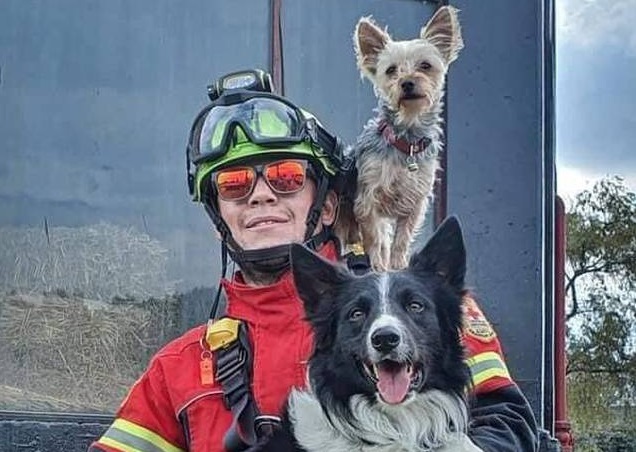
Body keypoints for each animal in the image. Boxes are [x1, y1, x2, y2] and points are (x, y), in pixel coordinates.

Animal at [337, 6, 464, 271]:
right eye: (391, 70)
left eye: (425, 65)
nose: (407, 82)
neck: (407, 139)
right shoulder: (368, 200)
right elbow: (374, 239)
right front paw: (377, 266)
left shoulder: (415, 202)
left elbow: (401, 239)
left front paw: (396, 266)